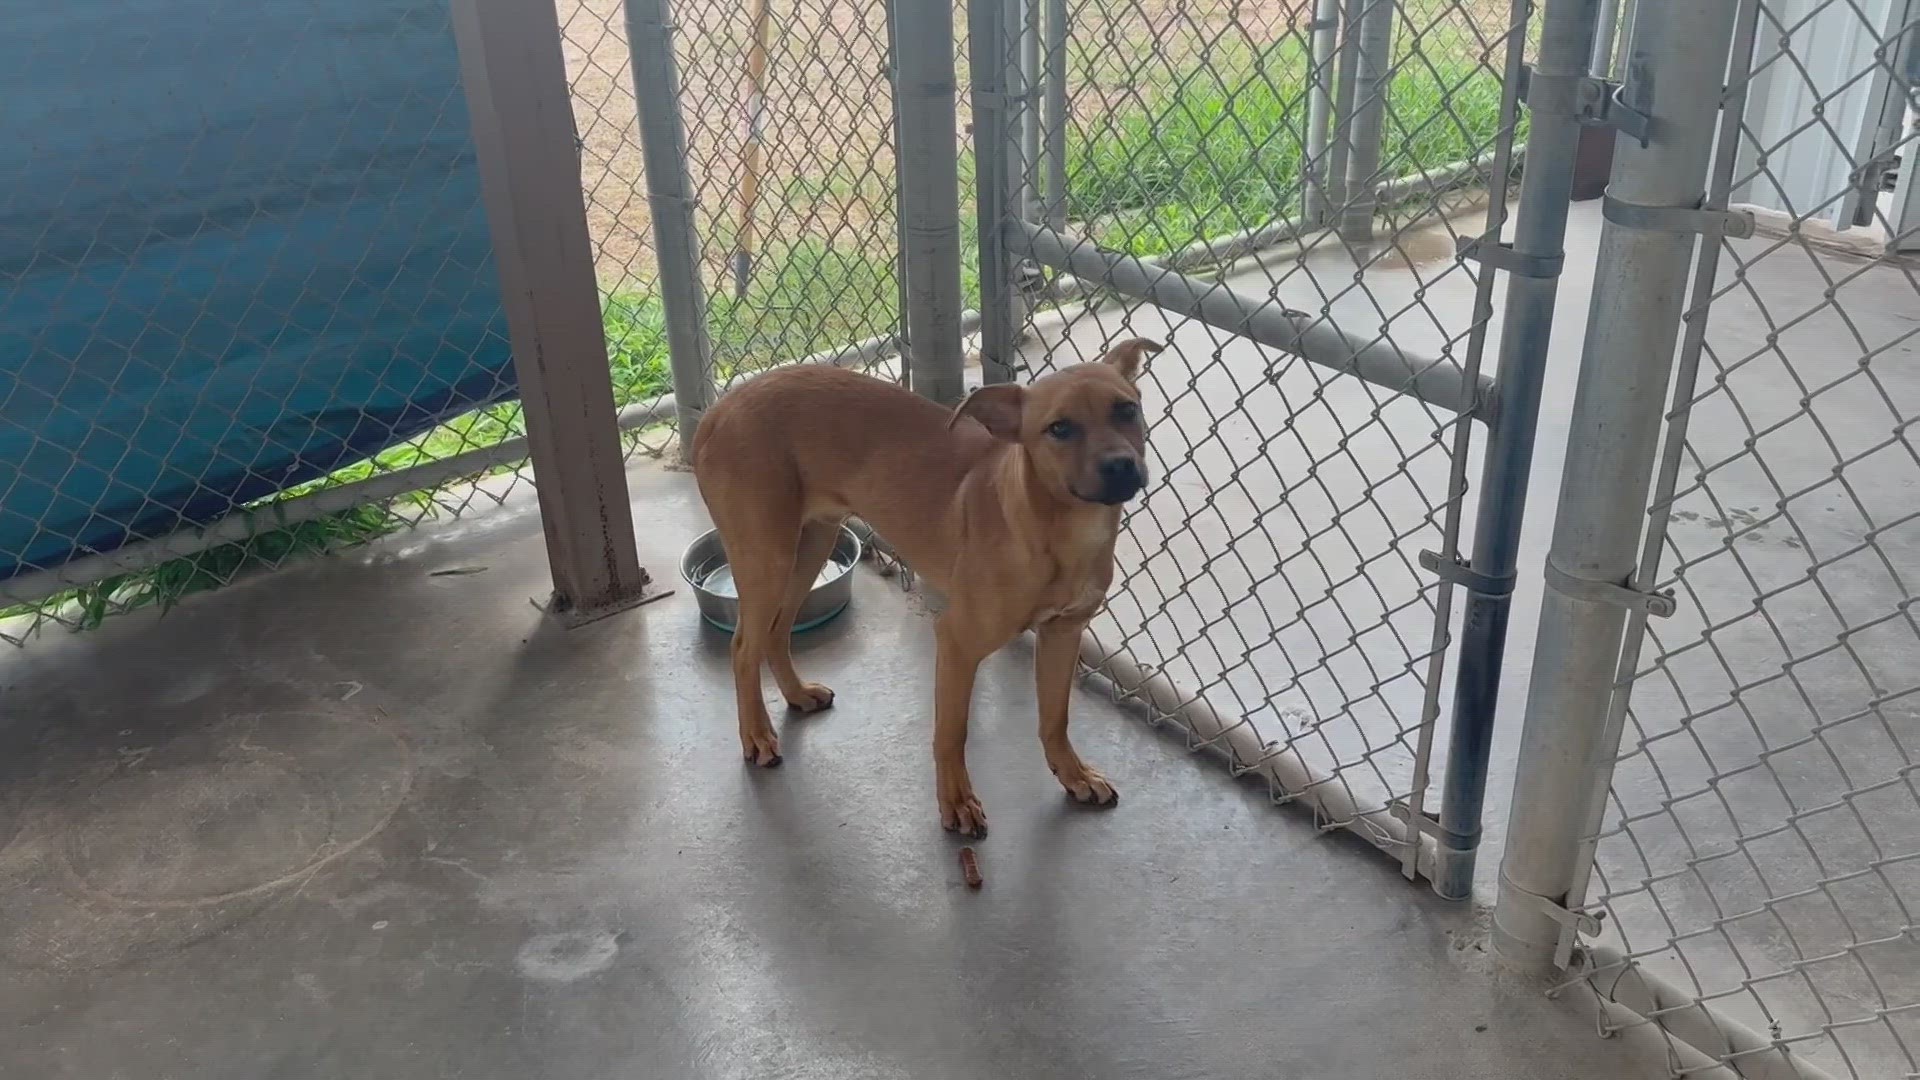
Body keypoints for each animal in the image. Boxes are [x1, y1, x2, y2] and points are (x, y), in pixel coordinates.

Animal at [698, 336, 1159, 834]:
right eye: (1059, 428)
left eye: (1126, 409)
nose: (1121, 466)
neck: (1062, 529)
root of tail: (718, 411)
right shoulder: (957, 642)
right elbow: (951, 732)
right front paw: (956, 801)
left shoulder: (1063, 633)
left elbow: (1055, 718)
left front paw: (1074, 775)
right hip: (767, 556)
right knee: (743, 647)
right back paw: (757, 734)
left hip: (812, 543)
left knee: (777, 631)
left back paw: (797, 694)